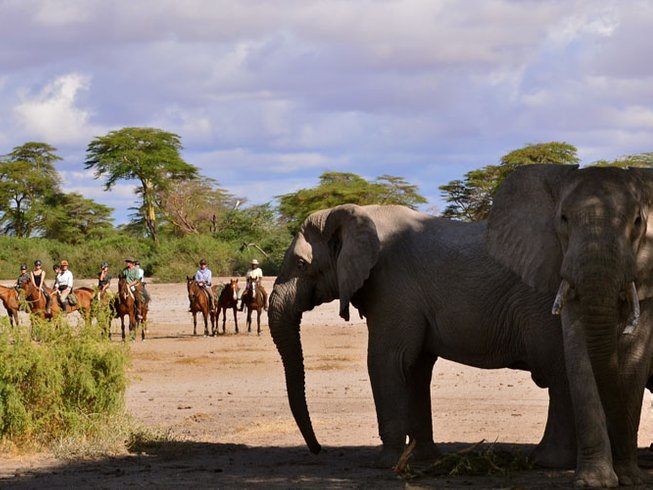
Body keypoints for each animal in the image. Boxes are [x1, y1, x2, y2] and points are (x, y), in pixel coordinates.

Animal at [270, 204, 576, 478]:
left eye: (301, 264)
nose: (318, 449)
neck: (359, 212)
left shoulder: (392, 286)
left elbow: (386, 361)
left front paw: (384, 464)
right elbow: (415, 368)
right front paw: (421, 459)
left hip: (543, 307)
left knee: (556, 372)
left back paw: (546, 461)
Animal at [486, 165, 652, 486]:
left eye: (638, 221)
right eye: (563, 219)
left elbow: (633, 361)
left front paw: (629, 478)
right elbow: (576, 349)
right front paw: (595, 482)